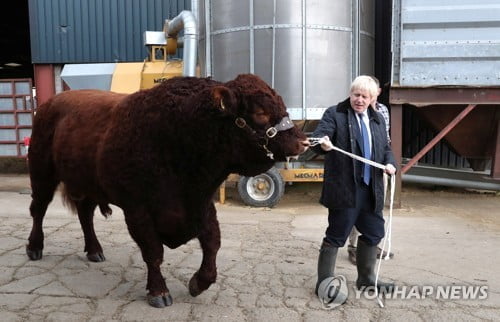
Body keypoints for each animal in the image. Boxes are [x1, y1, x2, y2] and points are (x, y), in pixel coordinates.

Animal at [28, 74, 308, 308]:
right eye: (260, 112)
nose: (302, 142)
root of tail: (49, 104)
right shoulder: (138, 211)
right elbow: (153, 252)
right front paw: (159, 293)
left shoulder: (201, 206)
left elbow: (212, 244)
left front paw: (197, 284)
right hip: (42, 176)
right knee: (38, 210)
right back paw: (34, 248)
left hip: (87, 187)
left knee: (85, 214)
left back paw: (95, 251)